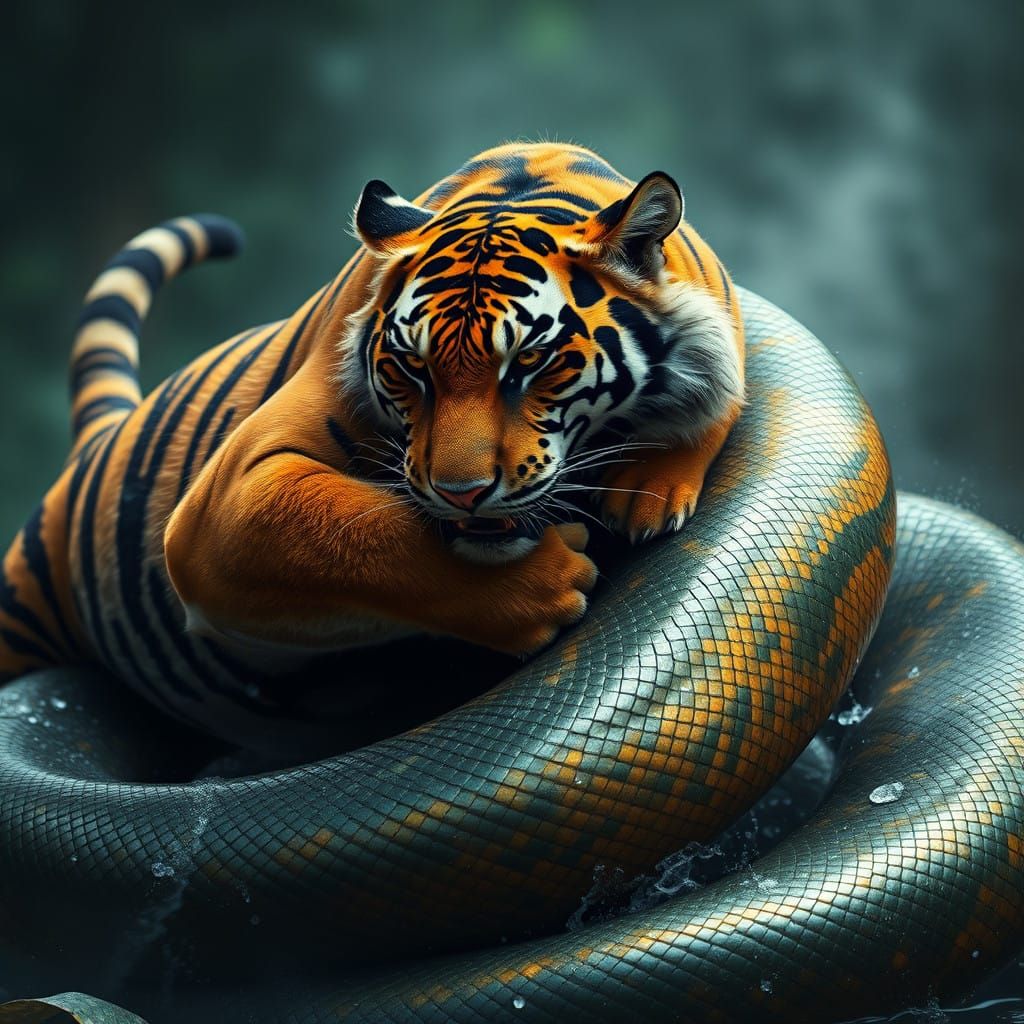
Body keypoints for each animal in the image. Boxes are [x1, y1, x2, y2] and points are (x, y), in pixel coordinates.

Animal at [0, 142, 744, 745]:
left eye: (531, 362)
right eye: (411, 367)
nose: (462, 493)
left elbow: (721, 393)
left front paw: (648, 491)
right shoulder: (225, 501)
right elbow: (360, 533)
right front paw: (545, 584)